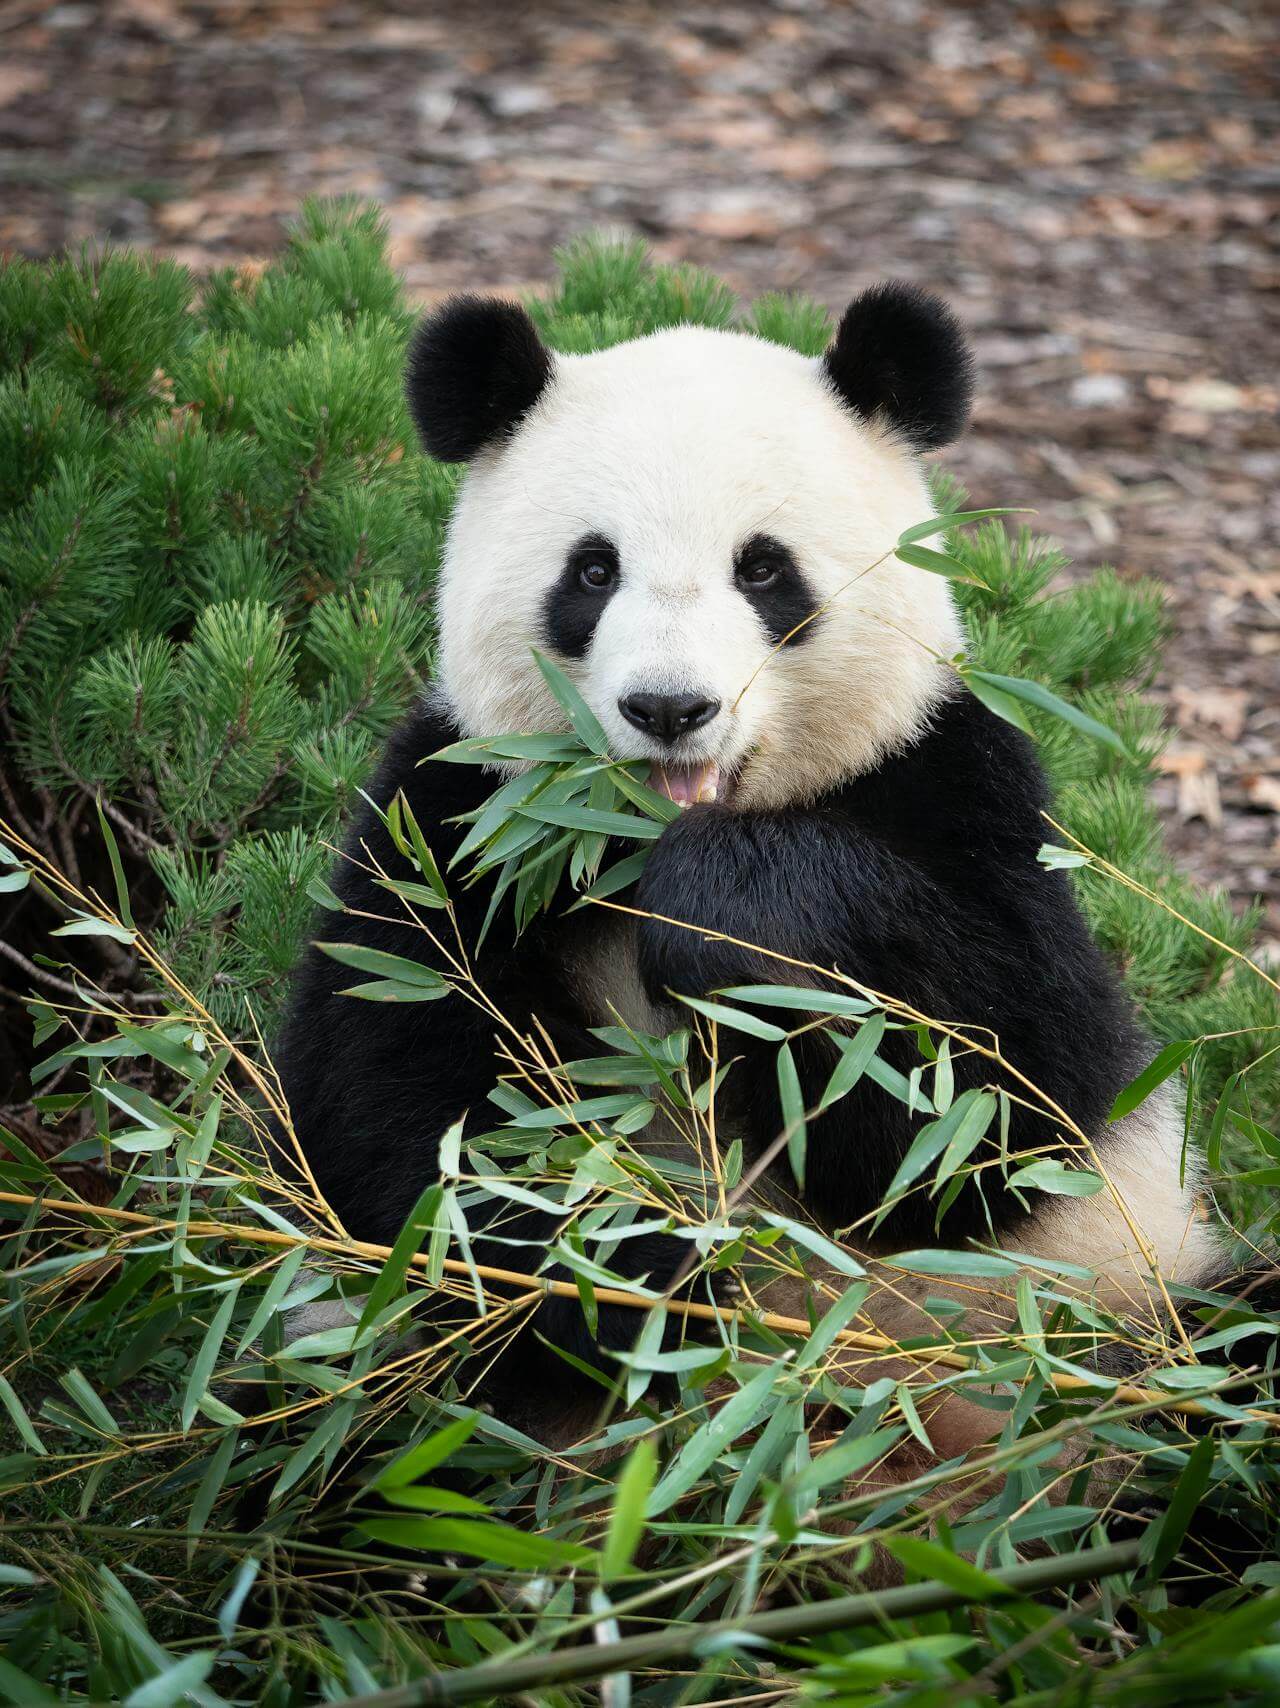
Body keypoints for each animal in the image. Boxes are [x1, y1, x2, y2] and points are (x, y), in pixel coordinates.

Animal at [274, 282, 1228, 1442]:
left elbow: (996, 1098)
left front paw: (718, 915)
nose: (669, 708)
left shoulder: (954, 781)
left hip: (1132, 1307)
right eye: (593, 570)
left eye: (763, 568)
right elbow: (398, 1104)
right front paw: (627, 1286)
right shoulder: (456, 822)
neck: (631, 843)